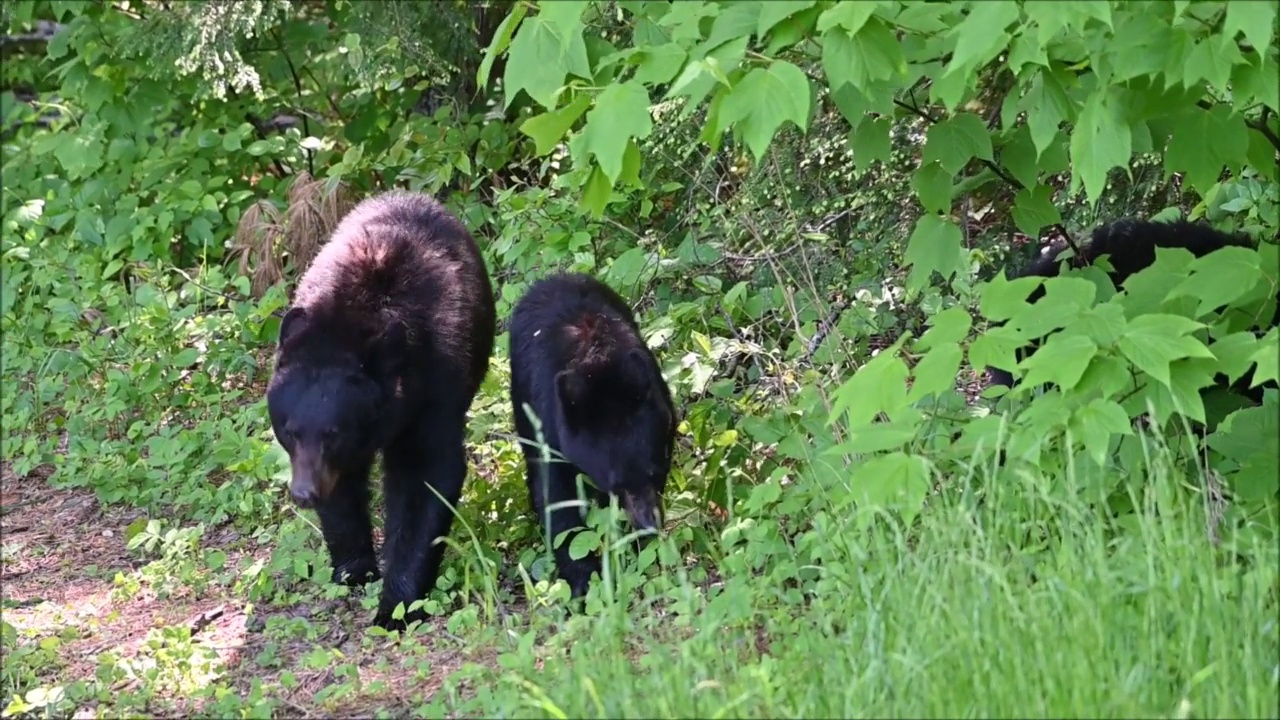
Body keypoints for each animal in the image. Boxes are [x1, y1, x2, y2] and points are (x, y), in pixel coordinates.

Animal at [264, 190, 494, 627]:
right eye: (289, 430)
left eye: (334, 434)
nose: (304, 494)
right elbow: (343, 490)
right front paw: (354, 569)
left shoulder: (434, 386)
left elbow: (425, 475)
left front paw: (395, 605)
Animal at [506, 271, 680, 597]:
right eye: (615, 484)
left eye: (654, 471)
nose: (648, 525)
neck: (598, 366)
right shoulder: (549, 422)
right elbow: (556, 496)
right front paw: (584, 579)